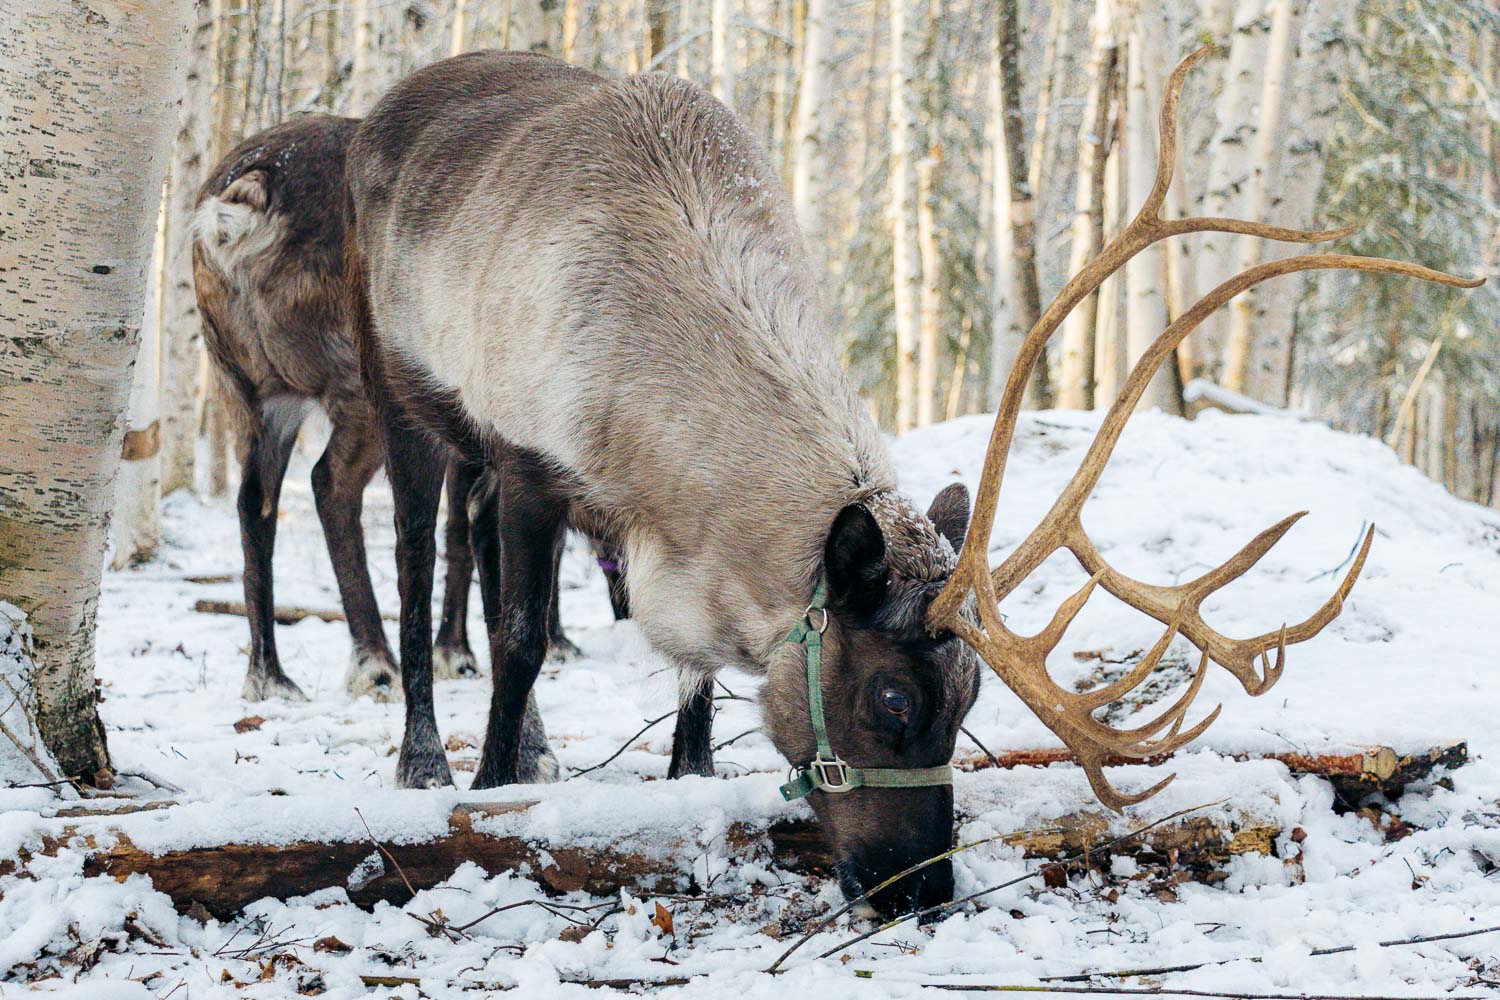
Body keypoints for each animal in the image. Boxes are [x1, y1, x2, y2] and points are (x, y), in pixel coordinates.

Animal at [191, 114, 624, 719]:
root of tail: (249, 195)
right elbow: (475, 530)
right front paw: (473, 649)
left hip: (249, 388)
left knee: (255, 500)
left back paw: (269, 674)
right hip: (361, 383)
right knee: (329, 484)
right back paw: (376, 661)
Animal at [343, 47, 1478, 917]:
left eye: (971, 698)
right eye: (893, 695)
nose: (923, 891)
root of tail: (385, 106)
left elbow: (693, 683)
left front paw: (685, 778)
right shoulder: (531, 457)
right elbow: (522, 637)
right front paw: (487, 792)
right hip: (403, 399)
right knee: (418, 564)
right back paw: (426, 759)